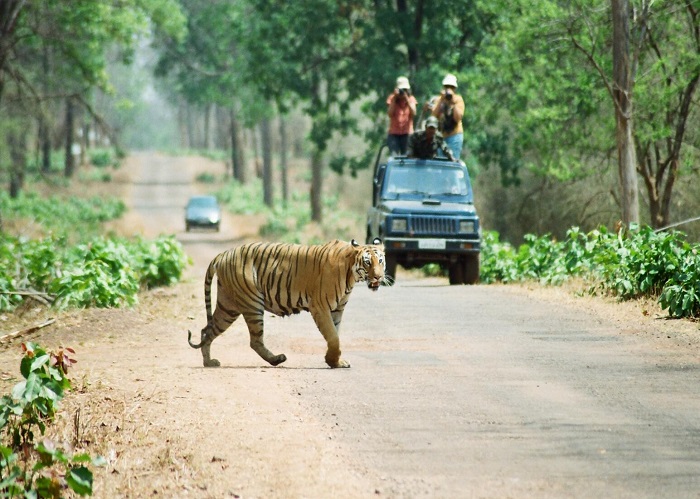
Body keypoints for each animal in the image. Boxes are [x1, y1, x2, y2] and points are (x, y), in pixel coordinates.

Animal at [187, 238, 386, 368]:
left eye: (380, 261)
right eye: (367, 263)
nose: (379, 276)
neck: (351, 274)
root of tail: (223, 254)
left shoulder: (337, 310)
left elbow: (336, 335)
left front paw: (335, 361)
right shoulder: (320, 307)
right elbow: (333, 336)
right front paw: (333, 361)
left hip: (228, 306)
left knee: (207, 330)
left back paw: (209, 362)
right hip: (252, 303)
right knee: (255, 341)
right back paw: (277, 359)